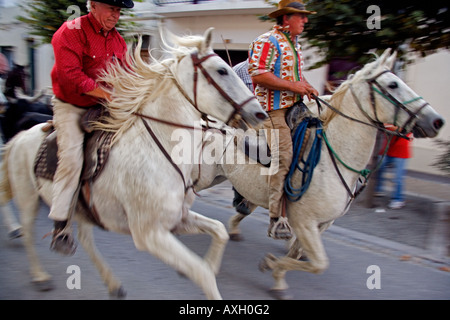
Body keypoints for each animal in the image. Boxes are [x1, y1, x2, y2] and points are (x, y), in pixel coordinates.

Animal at [0, 28, 268, 300]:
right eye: (222, 70)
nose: (260, 114)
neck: (159, 150)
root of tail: (20, 137)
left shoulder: (177, 219)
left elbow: (219, 232)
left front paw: (211, 263)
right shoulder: (149, 234)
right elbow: (201, 272)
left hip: (81, 209)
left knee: (85, 239)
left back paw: (112, 284)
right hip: (29, 198)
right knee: (29, 232)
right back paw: (39, 273)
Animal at [192, 48, 442, 298]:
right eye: (392, 84)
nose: (437, 121)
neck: (332, 159)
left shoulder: (321, 225)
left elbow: (303, 257)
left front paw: (277, 274)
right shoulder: (305, 223)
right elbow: (319, 263)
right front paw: (273, 266)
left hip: (220, 177)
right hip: (204, 177)